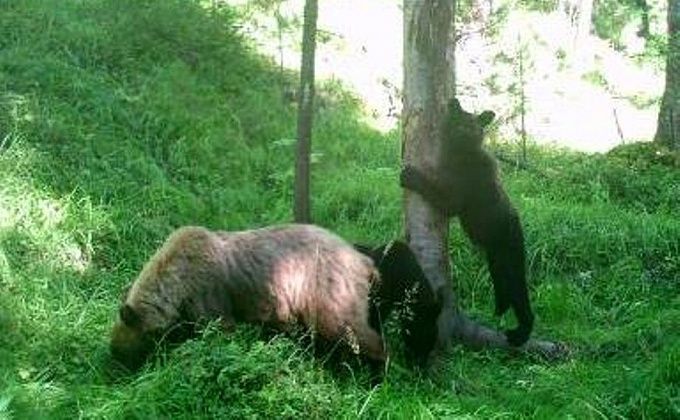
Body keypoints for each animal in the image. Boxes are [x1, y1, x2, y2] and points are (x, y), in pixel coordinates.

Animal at [111, 225, 440, 372]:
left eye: (124, 351)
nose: (115, 367)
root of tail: (364, 262)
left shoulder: (210, 297)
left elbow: (218, 333)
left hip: (329, 293)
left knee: (355, 333)